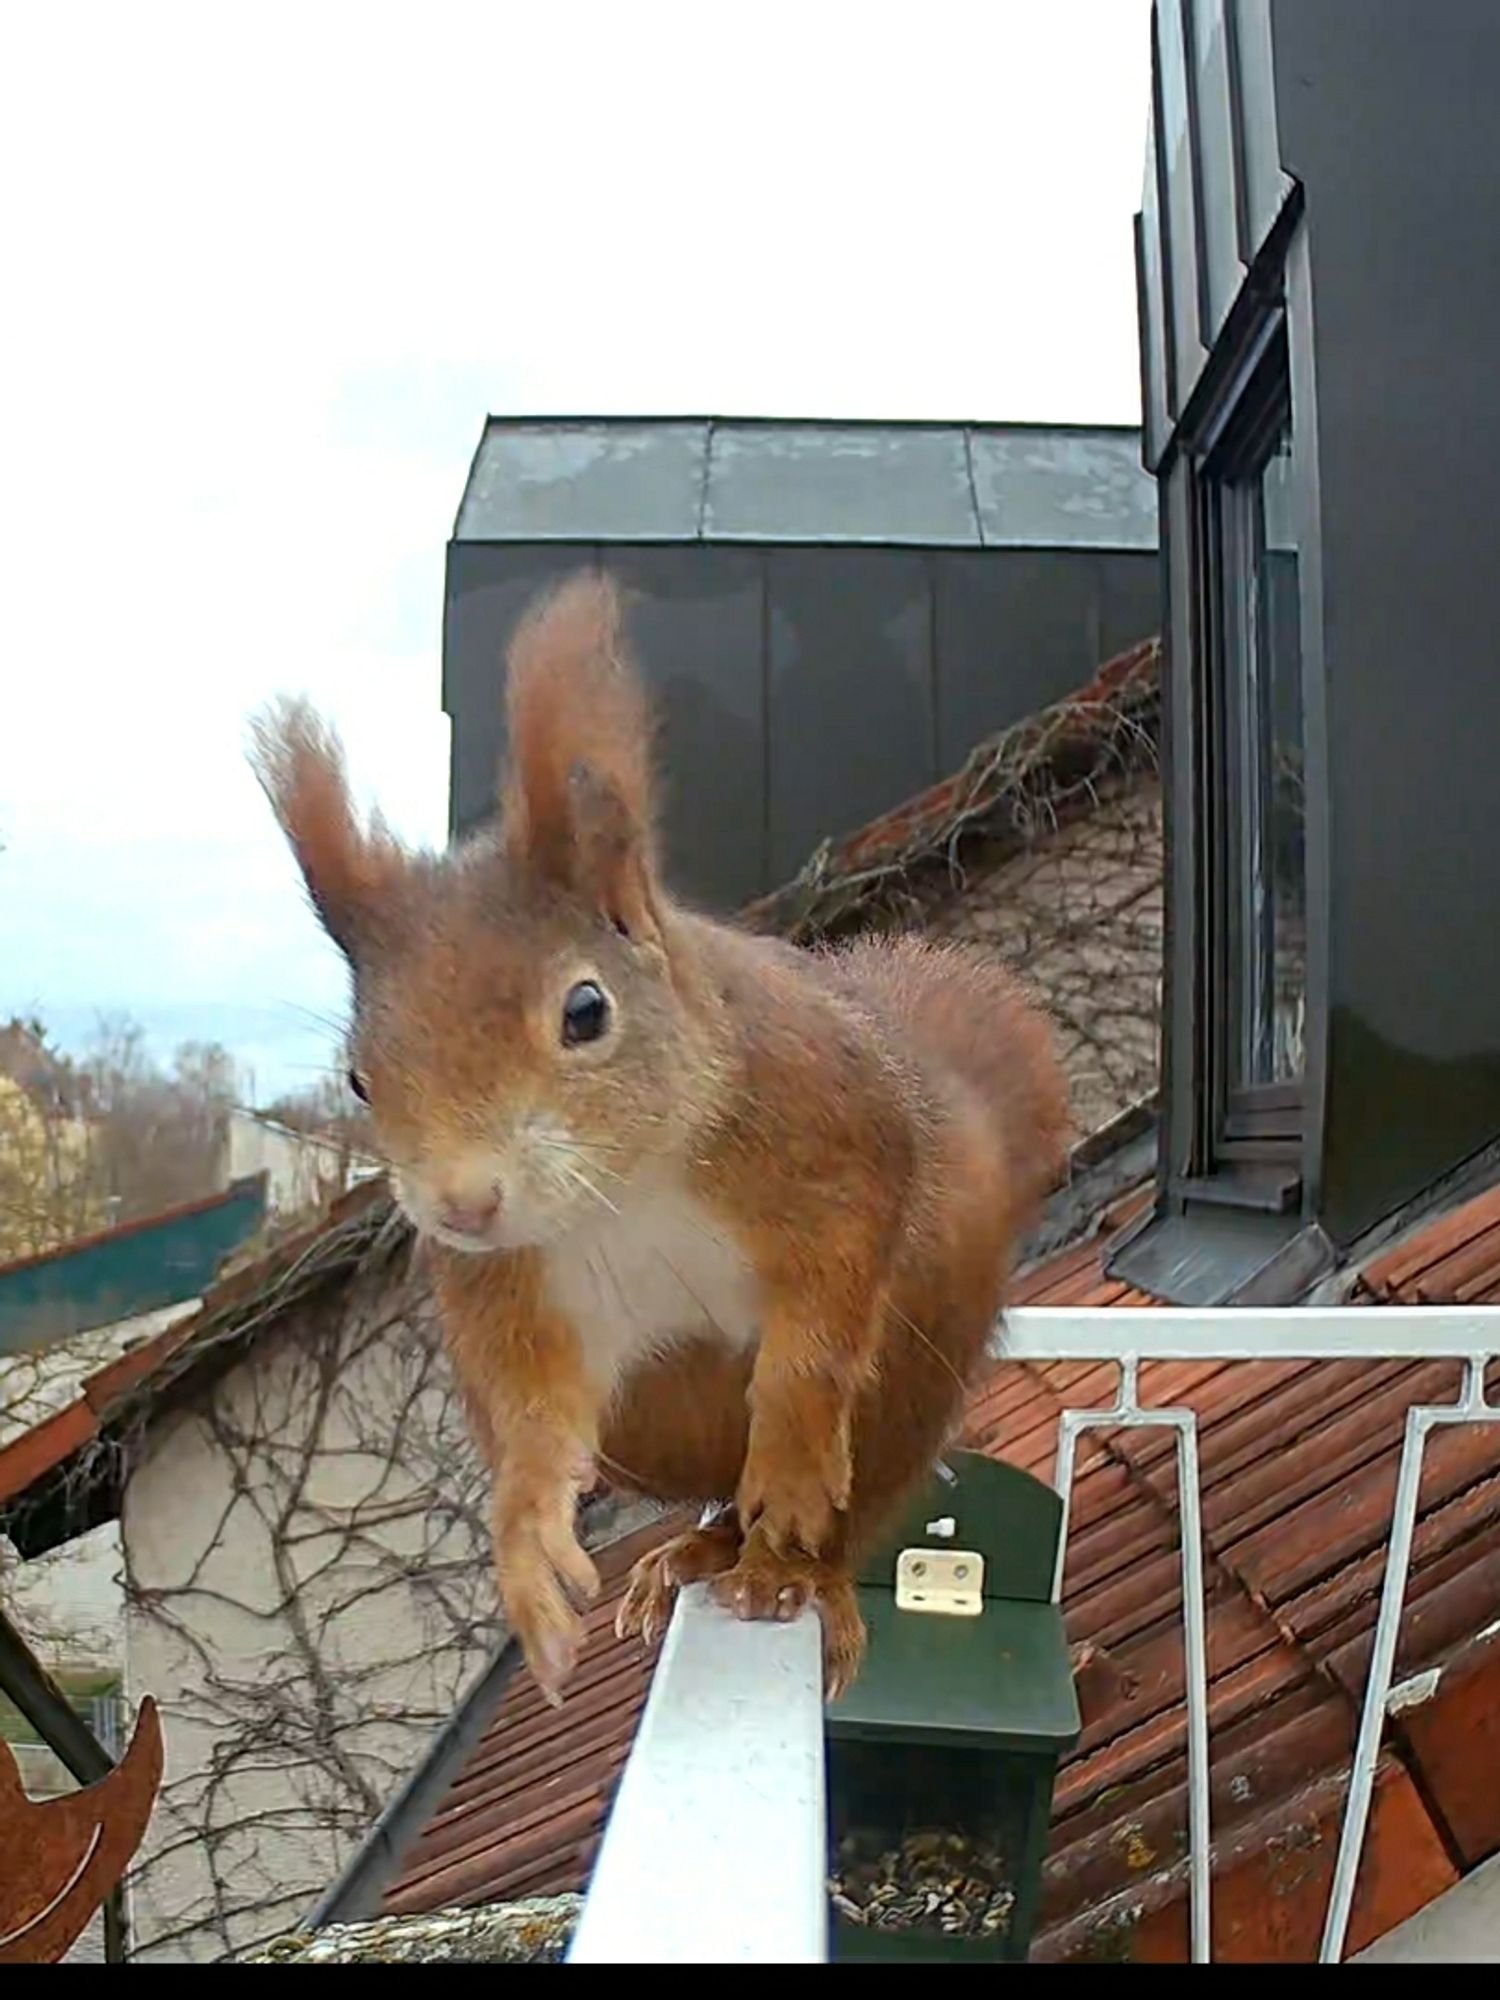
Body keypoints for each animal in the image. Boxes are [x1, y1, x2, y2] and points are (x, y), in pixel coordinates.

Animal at [253, 576, 1072, 1704]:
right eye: (358, 1076)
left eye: (586, 1010)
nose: (463, 1202)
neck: (624, 1188)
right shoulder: (508, 1284)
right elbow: (531, 1417)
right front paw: (528, 1547)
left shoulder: (833, 1124)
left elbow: (826, 1312)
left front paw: (792, 1451)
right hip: (655, 1418)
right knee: (703, 1488)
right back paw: (703, 1545)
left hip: (914, 1372)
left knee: (857, 1498)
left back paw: (791, 1566)